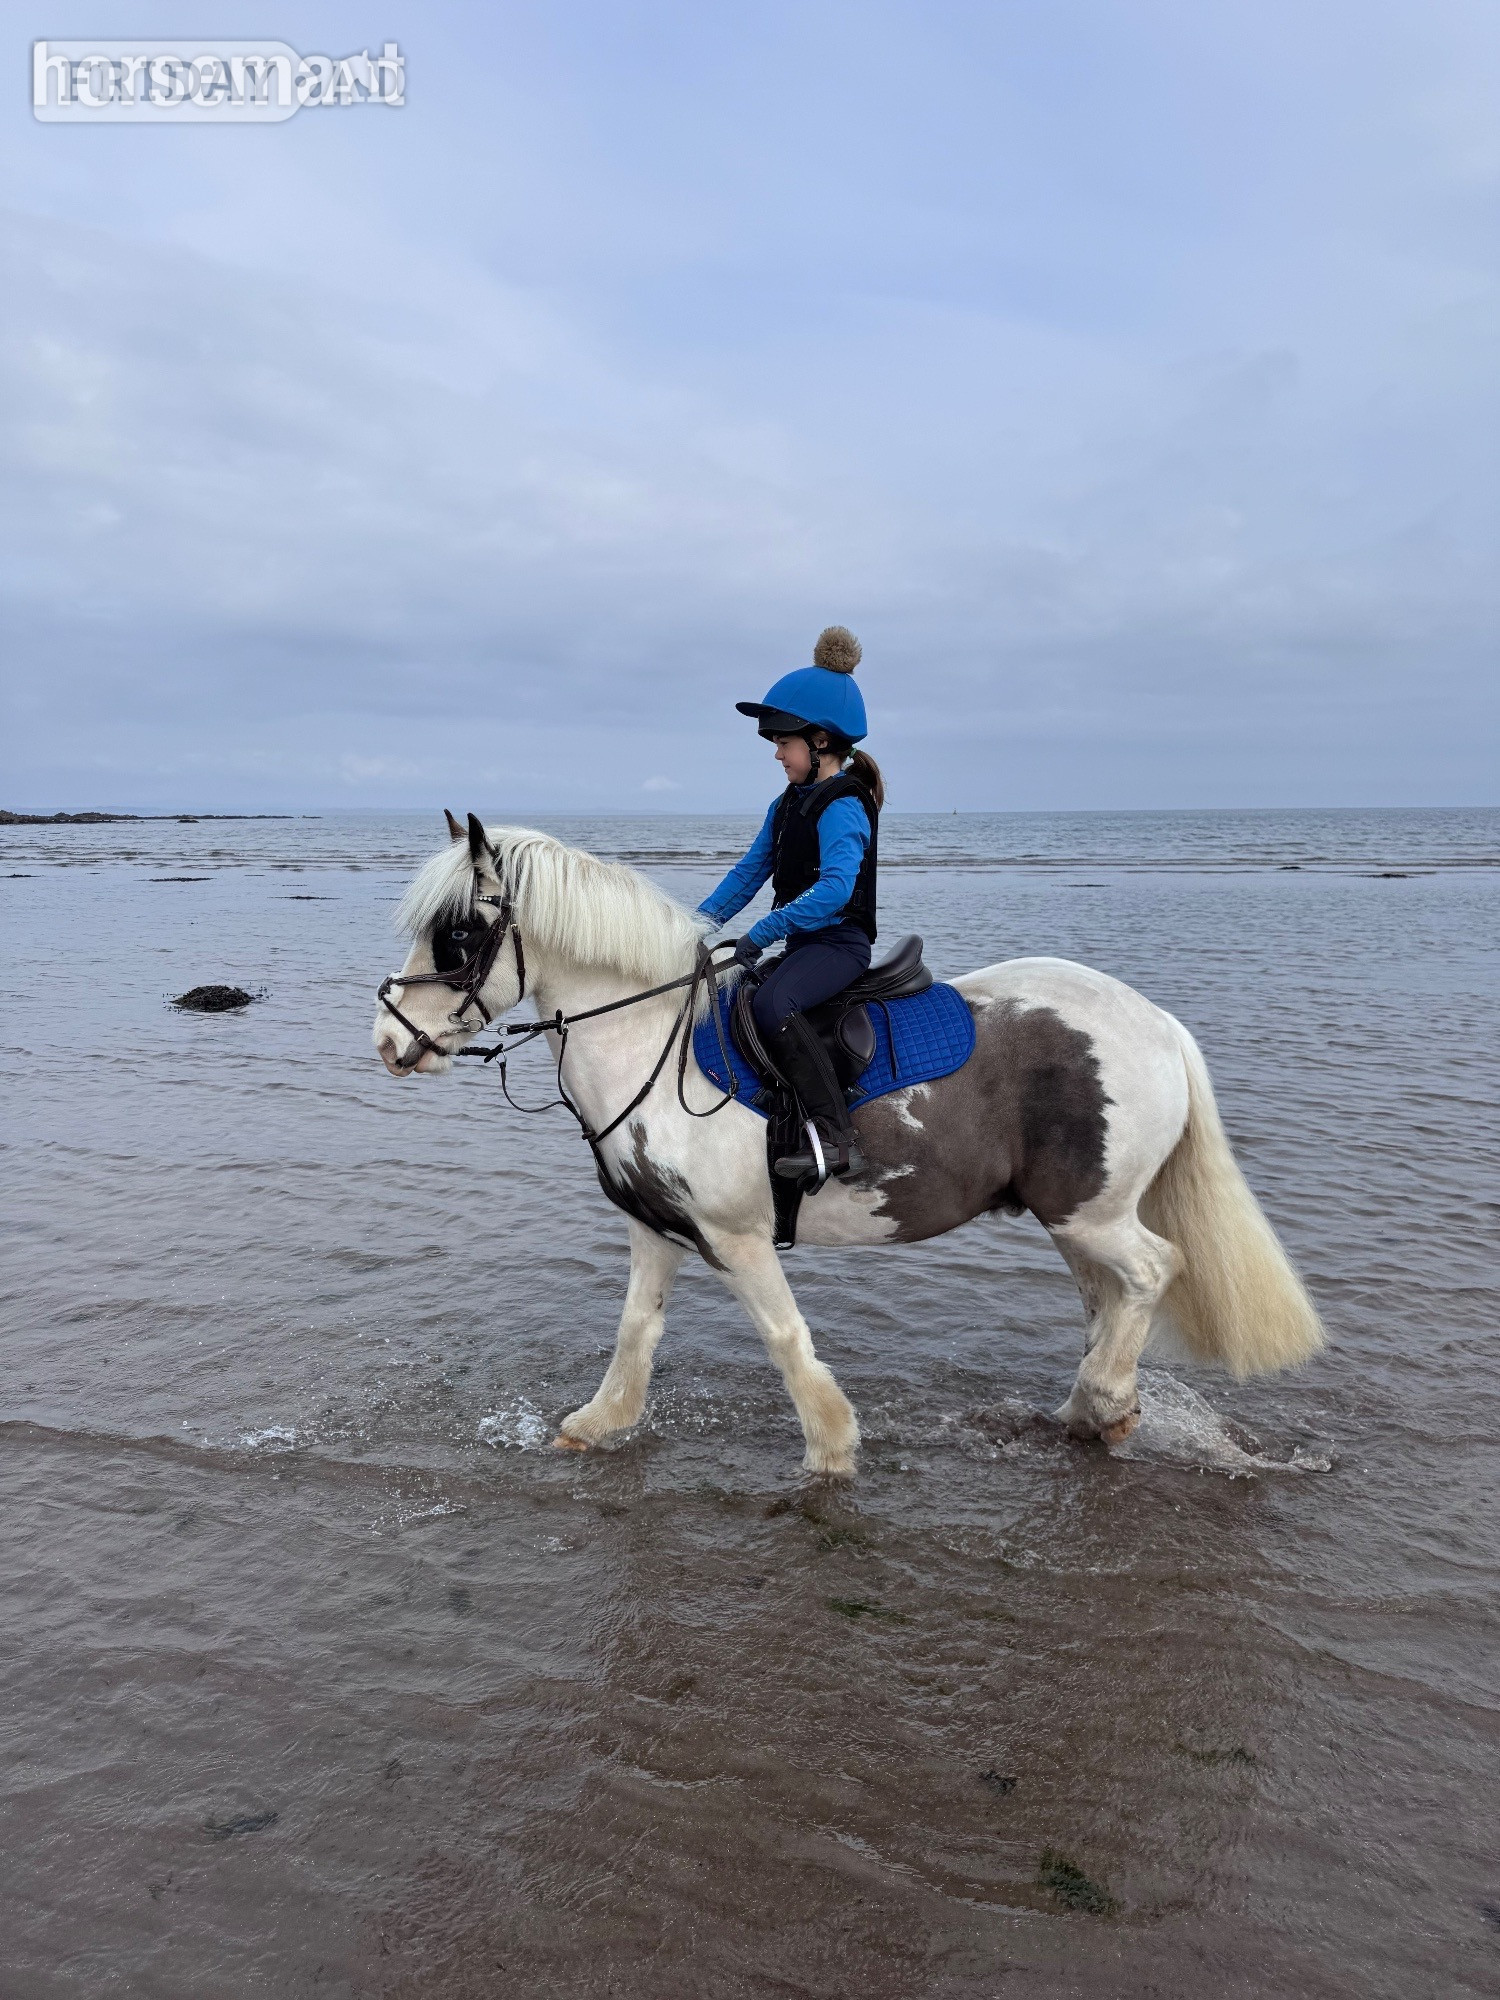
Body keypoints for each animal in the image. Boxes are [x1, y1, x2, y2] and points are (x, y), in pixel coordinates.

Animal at [372, 813, 1324, 1478]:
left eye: (457, 935)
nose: (389, 1041)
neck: (651, 1041)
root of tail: (1157, 1023)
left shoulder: (738, 1237)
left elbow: (784, 1337)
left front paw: (830, 1450)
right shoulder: (658, 1228)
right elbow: (636, 1328)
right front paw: (599, 1425)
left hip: (1091, 1213)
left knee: (1153, 1273)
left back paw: (1101, 1398)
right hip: (1076, 1218)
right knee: (1112, 1297)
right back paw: (1098, 1406)